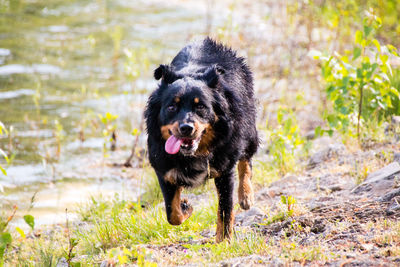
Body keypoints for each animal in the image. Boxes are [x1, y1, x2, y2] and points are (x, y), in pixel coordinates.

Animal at [145, 37, 258, 243]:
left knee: (246, 160)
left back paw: (246, 196)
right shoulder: (163, 167)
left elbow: (225, 209)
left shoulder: (224, 171)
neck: (193, 154)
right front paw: (185, 206)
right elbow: (172, 213)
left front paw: (224, 241)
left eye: (201, 107)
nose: (186, 128)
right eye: (172, 107)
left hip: (248, 127)